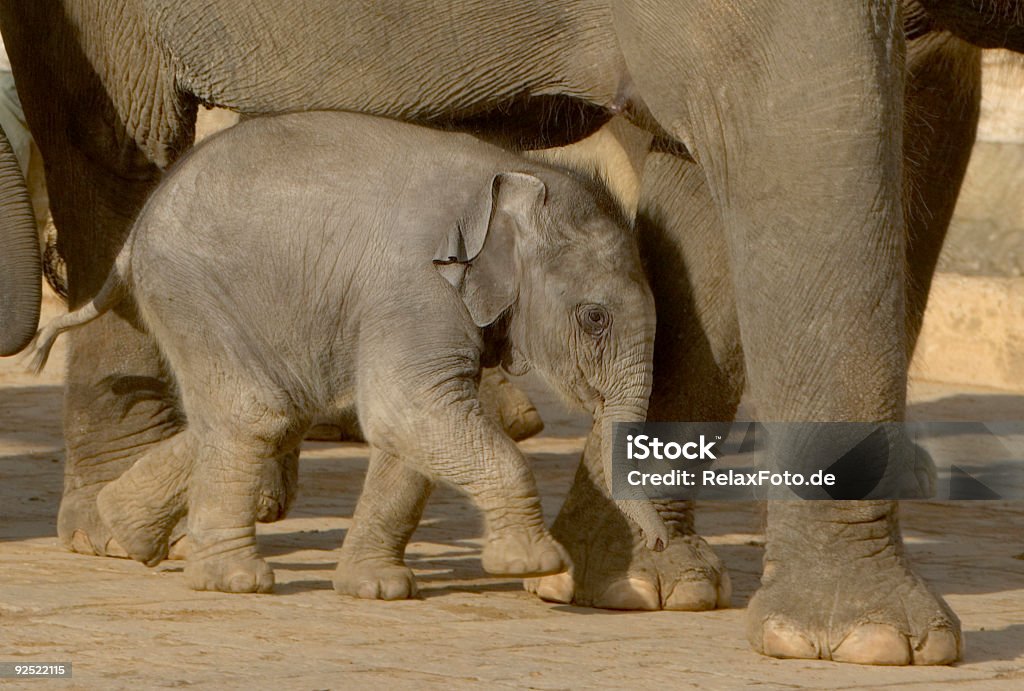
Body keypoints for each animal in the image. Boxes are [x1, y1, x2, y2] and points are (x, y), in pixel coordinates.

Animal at [29, 111, 663, 593]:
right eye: (596, 318)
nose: (656, 543)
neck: (519, 174)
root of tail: (135, 233)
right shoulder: (416, 287)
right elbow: (408, 405)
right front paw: (536, 564)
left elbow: (409, 430)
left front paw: (376, 589)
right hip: (191, 290)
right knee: (257, 411)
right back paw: (234, 580)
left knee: (276, 410)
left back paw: (121, 531)